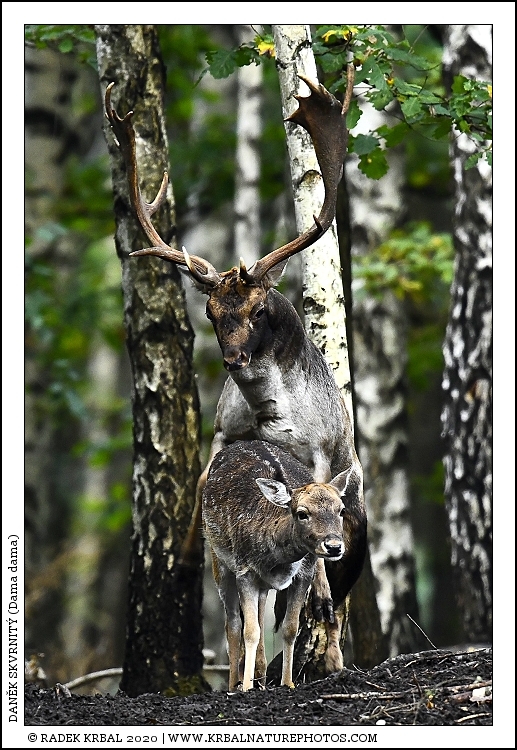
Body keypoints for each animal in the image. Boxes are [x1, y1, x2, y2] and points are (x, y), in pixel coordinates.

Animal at [203, 440, 362, 691]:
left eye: (341, 510)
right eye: (302, 513)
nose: (334, 546)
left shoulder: (304, 573)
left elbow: (289, 628)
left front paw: (288, 683)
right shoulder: (244, 570)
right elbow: (249, 631)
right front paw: (245, 687)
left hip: (262, 585)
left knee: (259, 615)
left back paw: (261, 678)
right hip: (218, 558)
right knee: (233, 623)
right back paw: (234, 684)